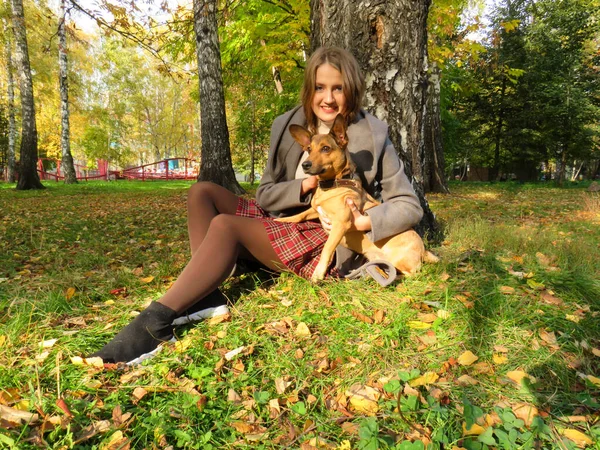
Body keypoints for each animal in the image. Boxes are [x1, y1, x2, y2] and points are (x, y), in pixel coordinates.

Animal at [276, 112, 436, 282]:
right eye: (308, 149)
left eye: (326, 148)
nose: (305, 165)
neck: (332, 185)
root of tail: (424, 251)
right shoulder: (316, 210)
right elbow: (301, 215)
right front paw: (284, 220)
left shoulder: (340, 223)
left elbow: (326, 249)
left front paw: (318, 274)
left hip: (399, 260)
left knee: (412, 274)